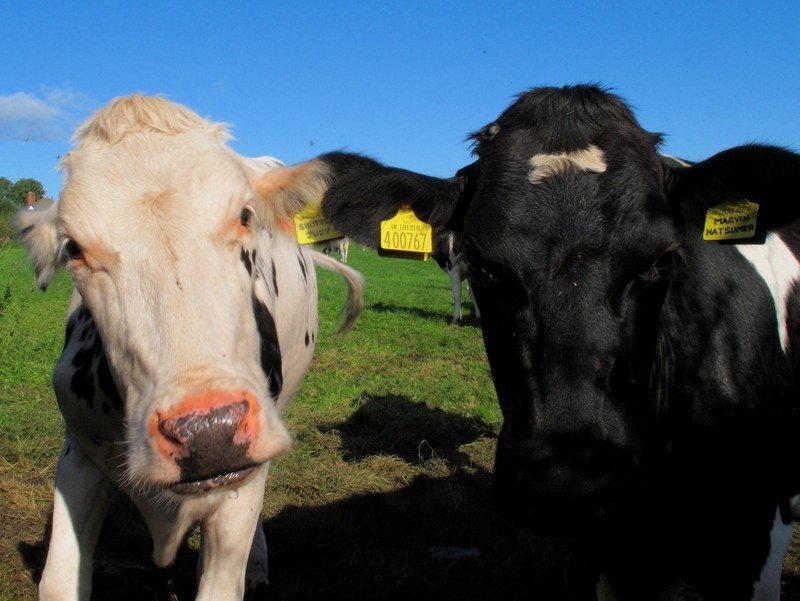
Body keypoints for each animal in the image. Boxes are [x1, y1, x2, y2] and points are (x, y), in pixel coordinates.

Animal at [14, 96, 362, 600]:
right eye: (73, 247)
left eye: (245, 216)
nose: (209, 432)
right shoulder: (78, 454)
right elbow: (58, 583)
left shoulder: (240, 488)